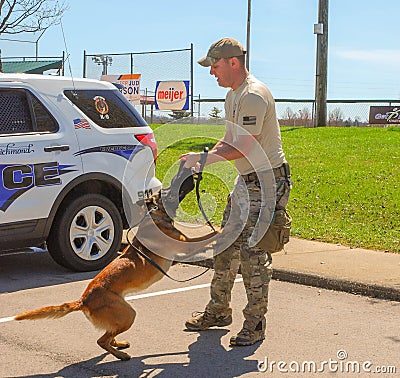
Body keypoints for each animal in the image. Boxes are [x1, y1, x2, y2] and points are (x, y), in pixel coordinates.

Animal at [14, 187, 217, 360]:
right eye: (164, 192)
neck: (155, 216)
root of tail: (84, 300)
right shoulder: (186, 244)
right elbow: (207, 237)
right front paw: (222, 231)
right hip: (128, 314)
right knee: (101, 340)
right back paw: (120, 355)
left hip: (121, 314)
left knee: (108, 335)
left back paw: (119, 344)